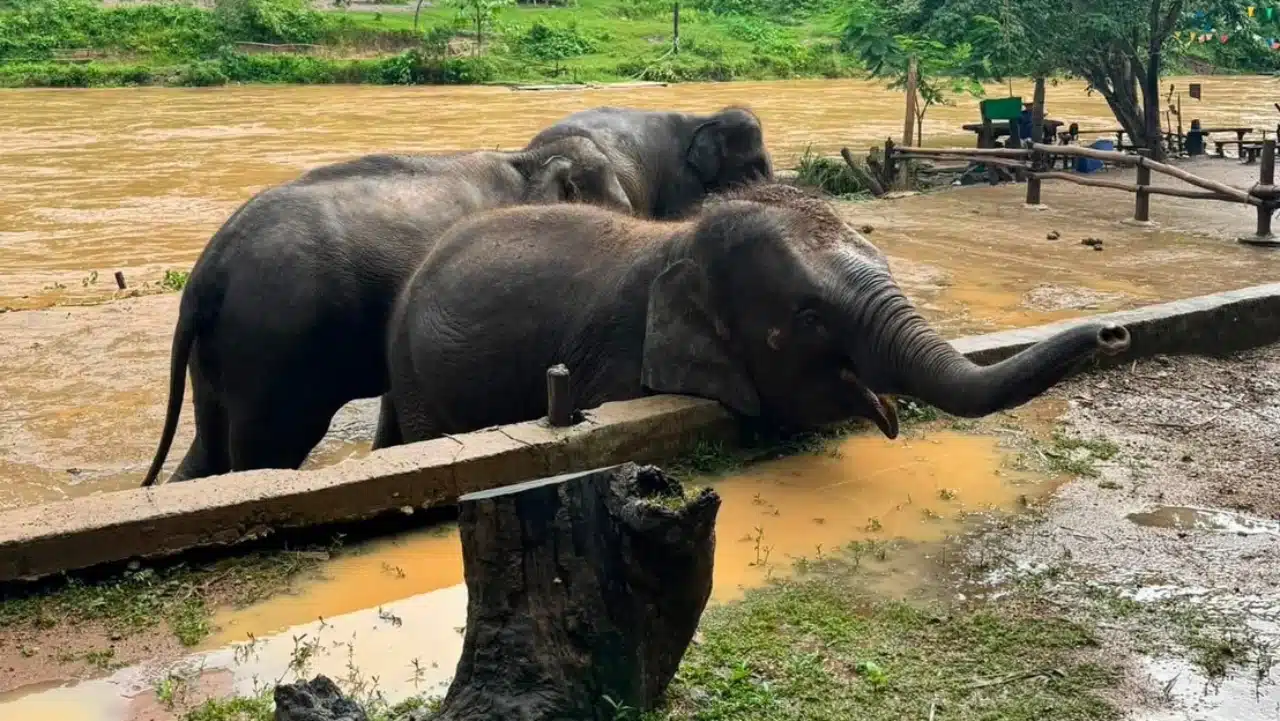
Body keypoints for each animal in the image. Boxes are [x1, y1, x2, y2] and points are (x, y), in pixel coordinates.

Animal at [140, 137, 633, 486]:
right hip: (272, 348)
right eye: (622, 210)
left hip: (219, 354)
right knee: (266, 450)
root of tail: (207, 273)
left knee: (207, 452)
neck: (526, 159)